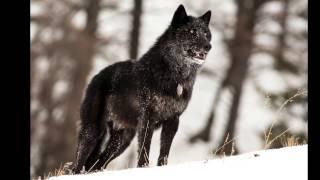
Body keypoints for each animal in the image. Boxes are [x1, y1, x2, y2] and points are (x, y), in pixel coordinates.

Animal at [73, 3, 212, 173]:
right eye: (192, 32)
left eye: (206, 34)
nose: (208, 46)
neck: (174, 74)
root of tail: (96, 76)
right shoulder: (148, 119)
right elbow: (144, 149)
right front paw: (143, 169)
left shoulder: (173, 120)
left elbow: (164, 153)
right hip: (92, 132)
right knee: (77, 164)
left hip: (122, 141)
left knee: (97, 163)